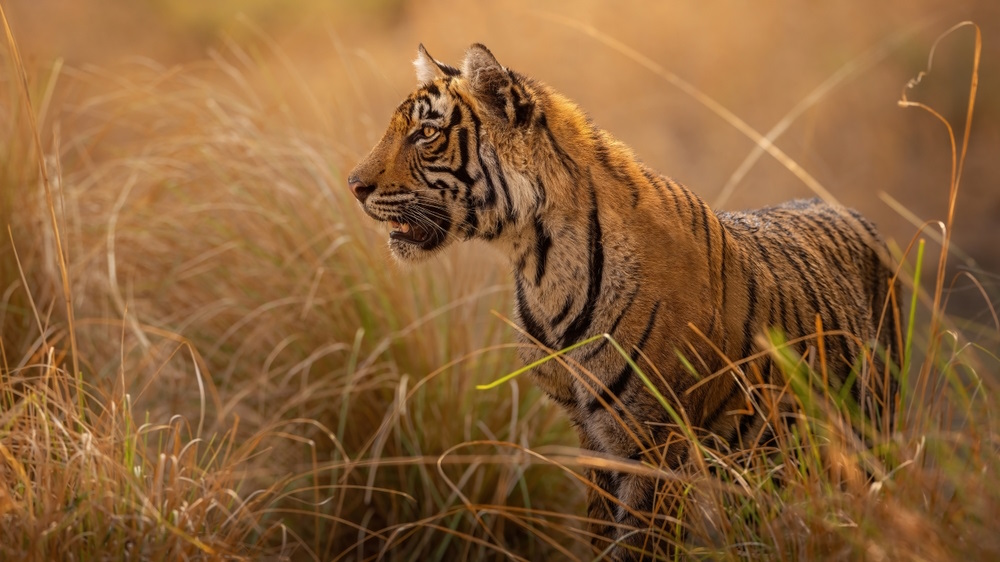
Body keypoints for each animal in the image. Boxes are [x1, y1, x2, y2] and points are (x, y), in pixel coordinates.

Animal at [347, 43, 900, 559]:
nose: (354, 185)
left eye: (426, 133)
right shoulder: (591, 436)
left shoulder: (655, 443)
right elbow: (600, 535)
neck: (538, 264)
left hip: (869, 428)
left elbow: (639, 544)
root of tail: (848, 210)